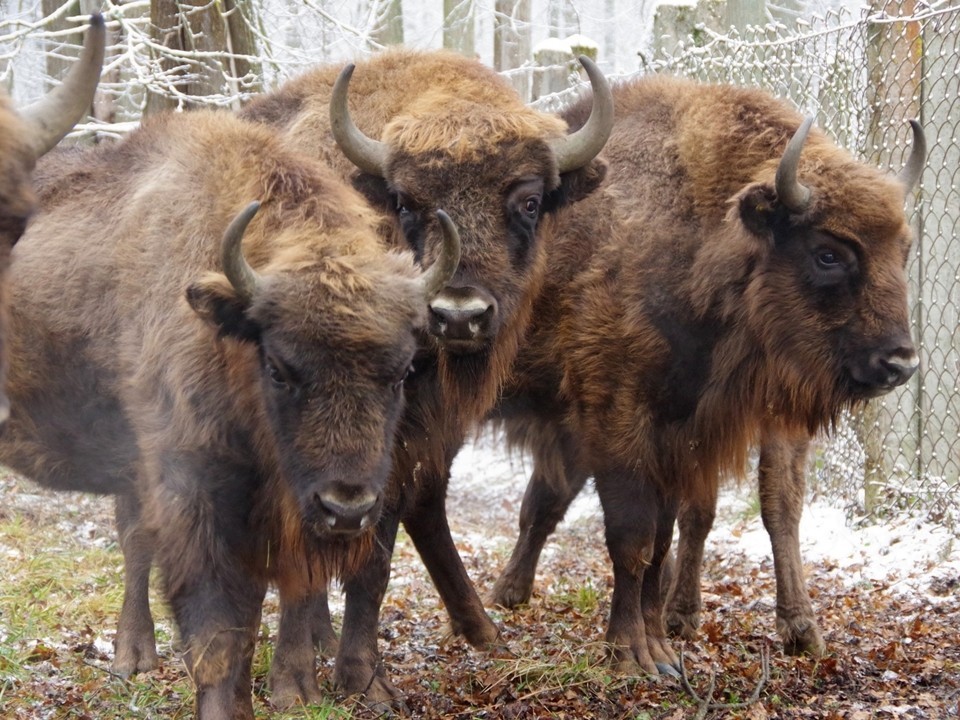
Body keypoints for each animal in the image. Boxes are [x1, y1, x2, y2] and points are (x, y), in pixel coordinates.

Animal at [0, 108, 460, 720]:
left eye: (403, 371)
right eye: (280, 368)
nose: (346, 508)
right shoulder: (193, 498)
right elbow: (217, 631)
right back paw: (132, 658)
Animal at [238, 46, 616, 704]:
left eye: (529, 201)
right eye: (407, 204)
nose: (458, 315)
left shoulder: (410, 438)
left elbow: (375, 556)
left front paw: (363, 681)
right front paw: (294, 685)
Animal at [484, 76, 928, 676]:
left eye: (903, 249)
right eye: (829, 253)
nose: (899, 363)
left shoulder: (687, 430)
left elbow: (674, 533)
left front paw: (666, 645)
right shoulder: (618, 415)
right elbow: (633, 534)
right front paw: (631, 653)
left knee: (544, 500)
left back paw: (510, 594)